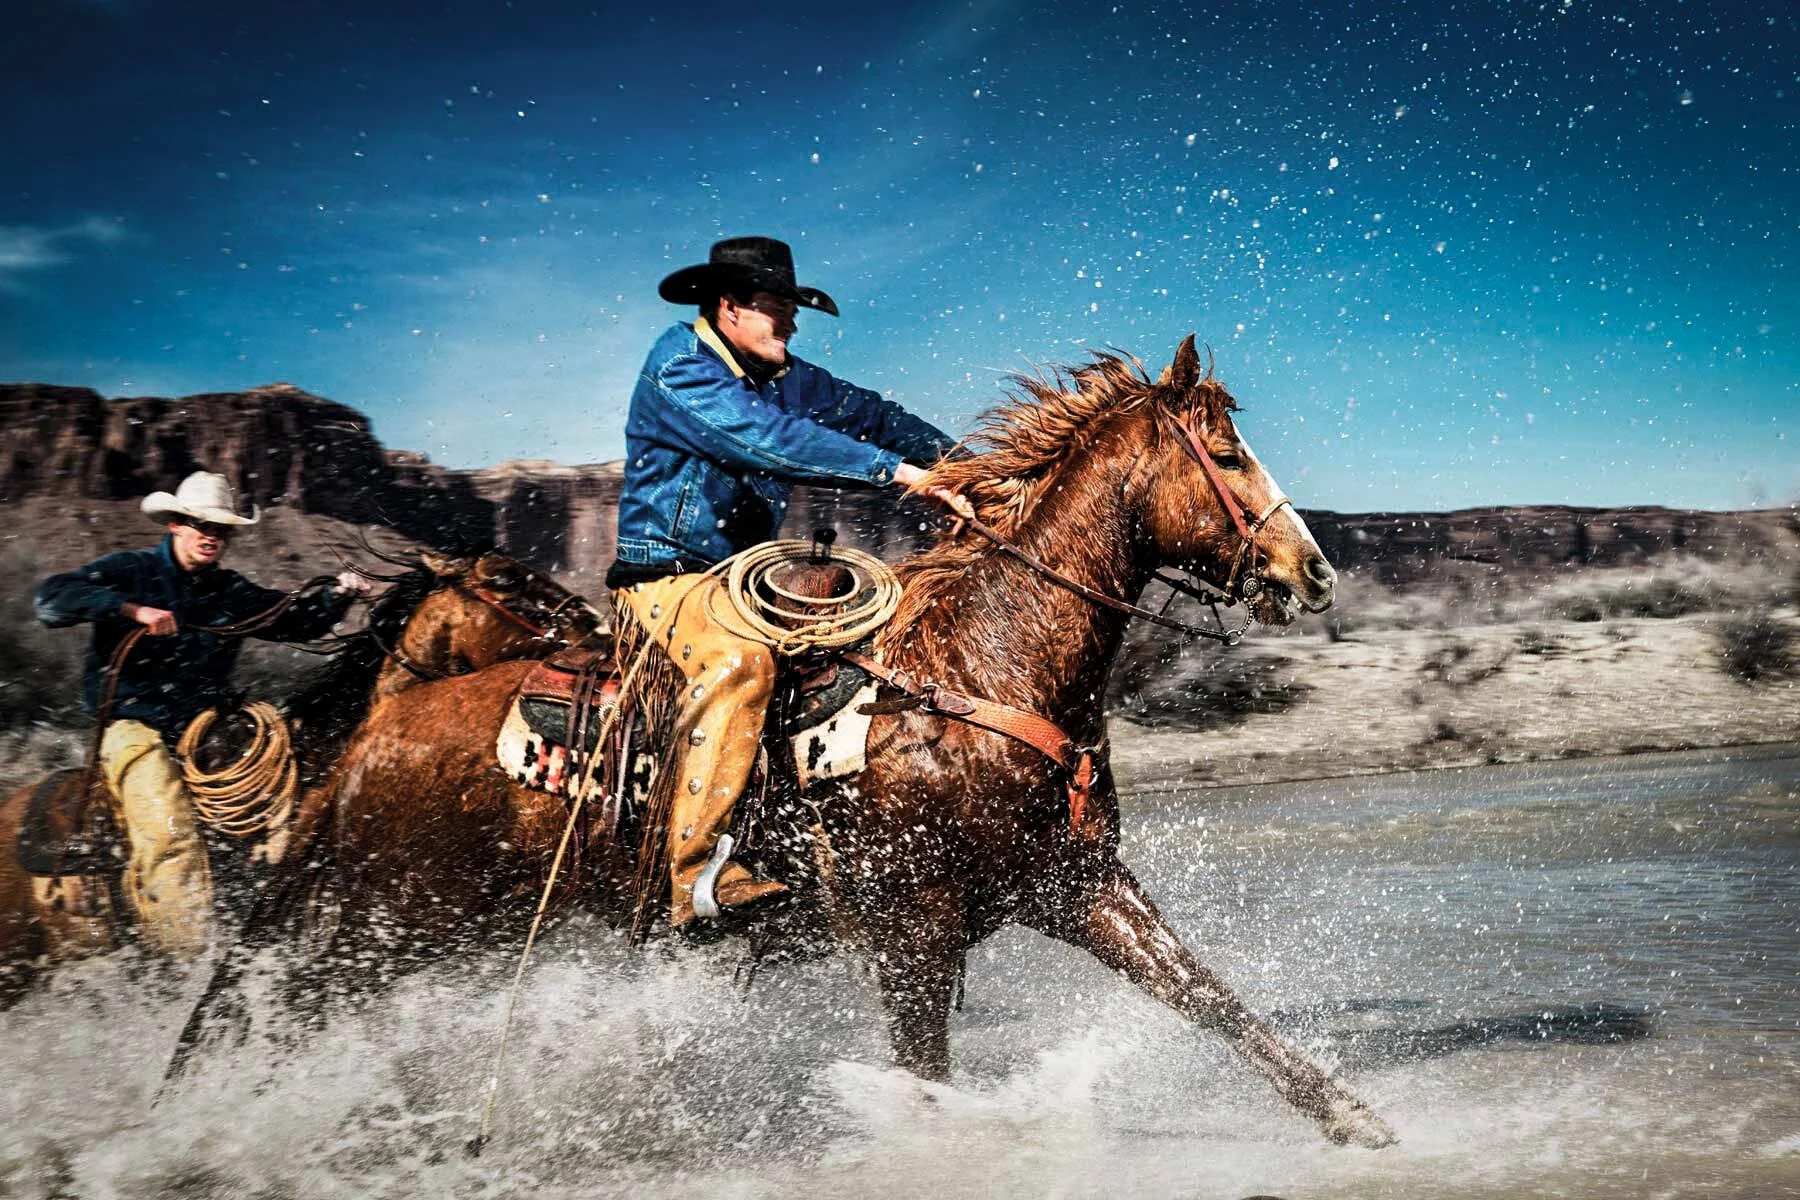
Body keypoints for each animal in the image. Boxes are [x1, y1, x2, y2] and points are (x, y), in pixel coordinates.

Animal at [233, 335, 1394, 1148]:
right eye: (1229, 454)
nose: (1314, 573)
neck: (978, 673)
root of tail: (384, 724)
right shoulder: (916, 928)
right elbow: (927, 1080)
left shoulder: (1075, 885)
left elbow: (1208, 999)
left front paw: (1354, 1118)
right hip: (385, 929)